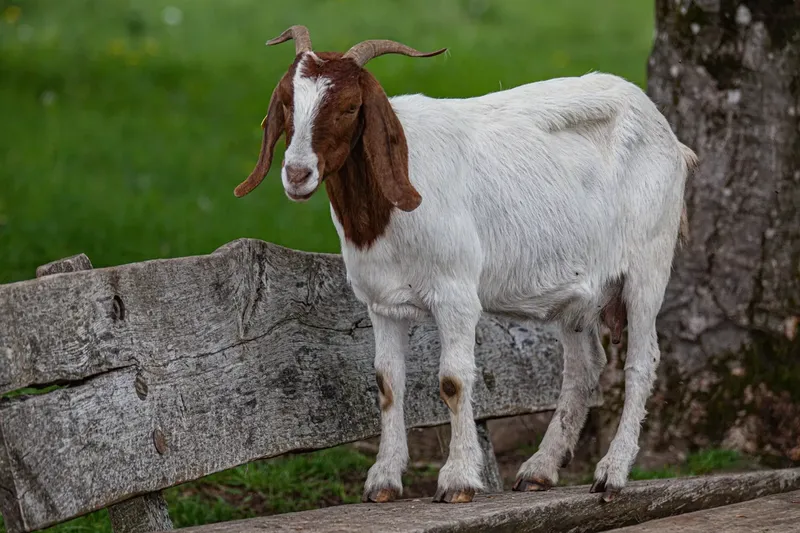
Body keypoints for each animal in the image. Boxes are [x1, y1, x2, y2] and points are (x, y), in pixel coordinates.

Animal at [234, 25, 696, 504]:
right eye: (287, 103)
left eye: (349, 106)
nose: (297, 174)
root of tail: (671, 139)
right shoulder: (381, 302)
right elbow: (386, 383)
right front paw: (383, 479)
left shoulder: (454, 294)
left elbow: (453, 381)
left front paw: (457, 479)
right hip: (579, 292)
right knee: (583, 367)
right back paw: (540, 469)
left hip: (647, 265)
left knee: (641, 362)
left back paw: (612, 472)